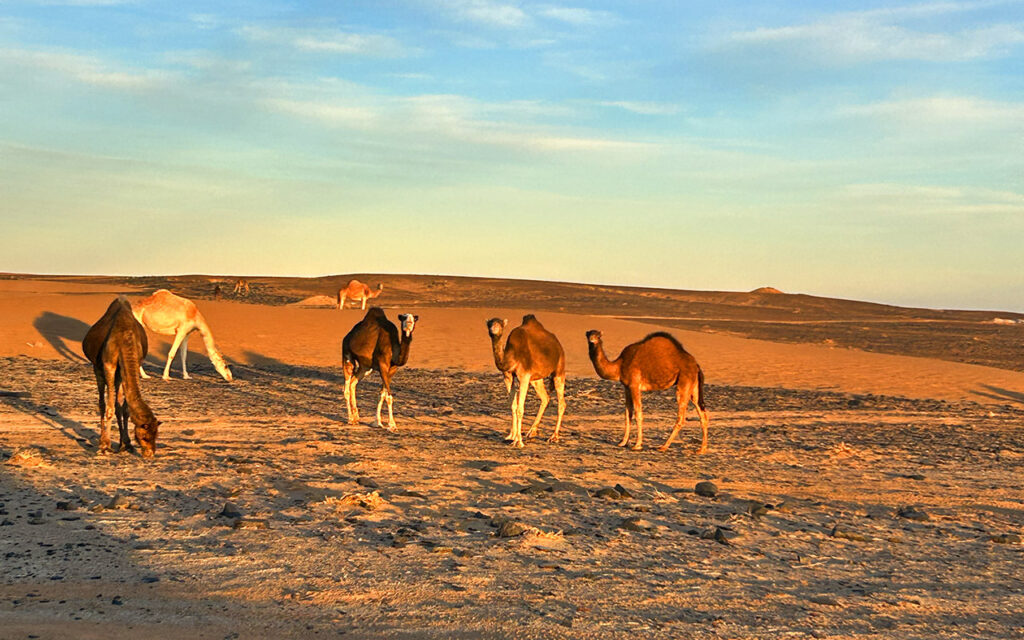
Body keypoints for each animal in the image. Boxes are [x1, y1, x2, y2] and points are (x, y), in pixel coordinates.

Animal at [81, 297, 161, 457]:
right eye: (144, 436)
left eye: (156, 435)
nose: (150, 454)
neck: (126, 339)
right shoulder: (109, 365)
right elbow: (109, 408)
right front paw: (105, 446)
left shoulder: (134, 363)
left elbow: (124, 409)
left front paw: (126, 444)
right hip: (97, 368)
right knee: (102, 402)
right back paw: (102, 441)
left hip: (119, 373)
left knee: (117, 402)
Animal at [486, 315, 566, 448]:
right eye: (489, 323)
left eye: (500, 324)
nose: (493, 329)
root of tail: (558, 343)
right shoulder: (508, 376)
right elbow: (513, 405)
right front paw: (511, 436)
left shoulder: (524, 376)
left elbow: (520, 408)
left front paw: (518, 442)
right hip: (536, 378)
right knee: (545, 397)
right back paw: (532, 432)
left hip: (559, 369)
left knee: (561, 403)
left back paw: (553, 437)